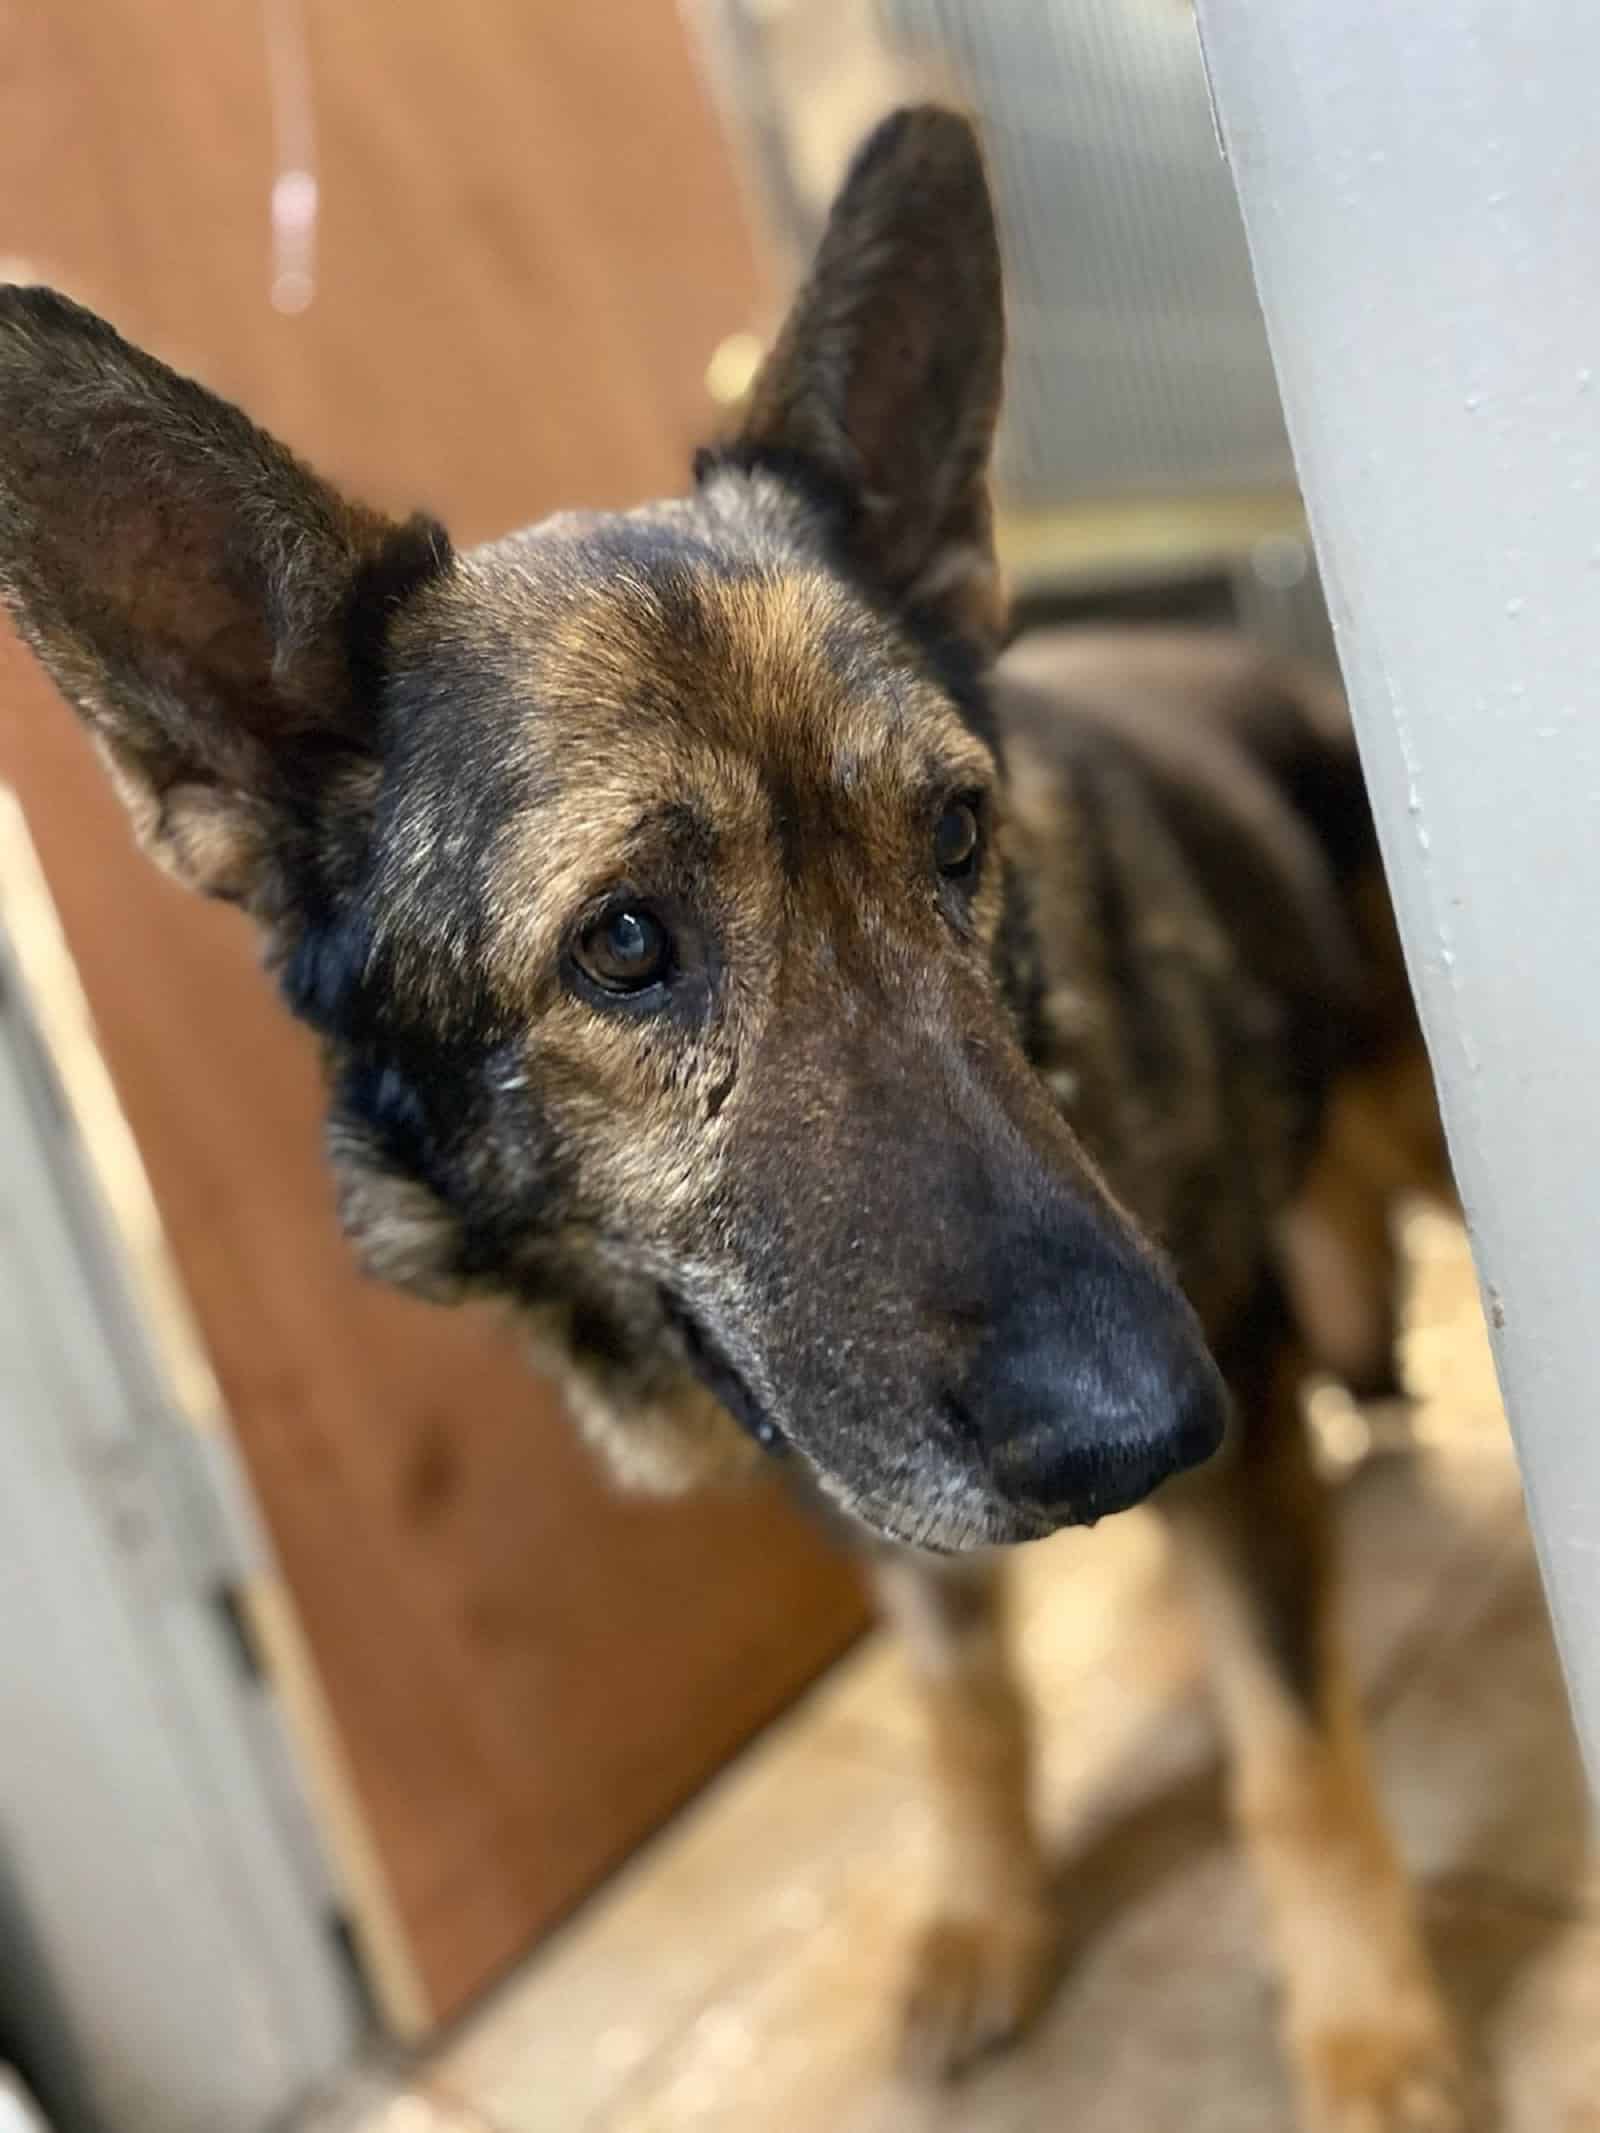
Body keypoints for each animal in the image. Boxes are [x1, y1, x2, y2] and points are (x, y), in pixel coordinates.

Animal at [0, 112, 1476, 2133]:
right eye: (626, 942)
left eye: (956, 835)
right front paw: (990, 1912)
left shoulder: (1222, 1375)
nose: (1148, 1431)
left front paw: (1369, 2032)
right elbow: (962, 1706)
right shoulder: (877, 1482)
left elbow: (1289, 1749)